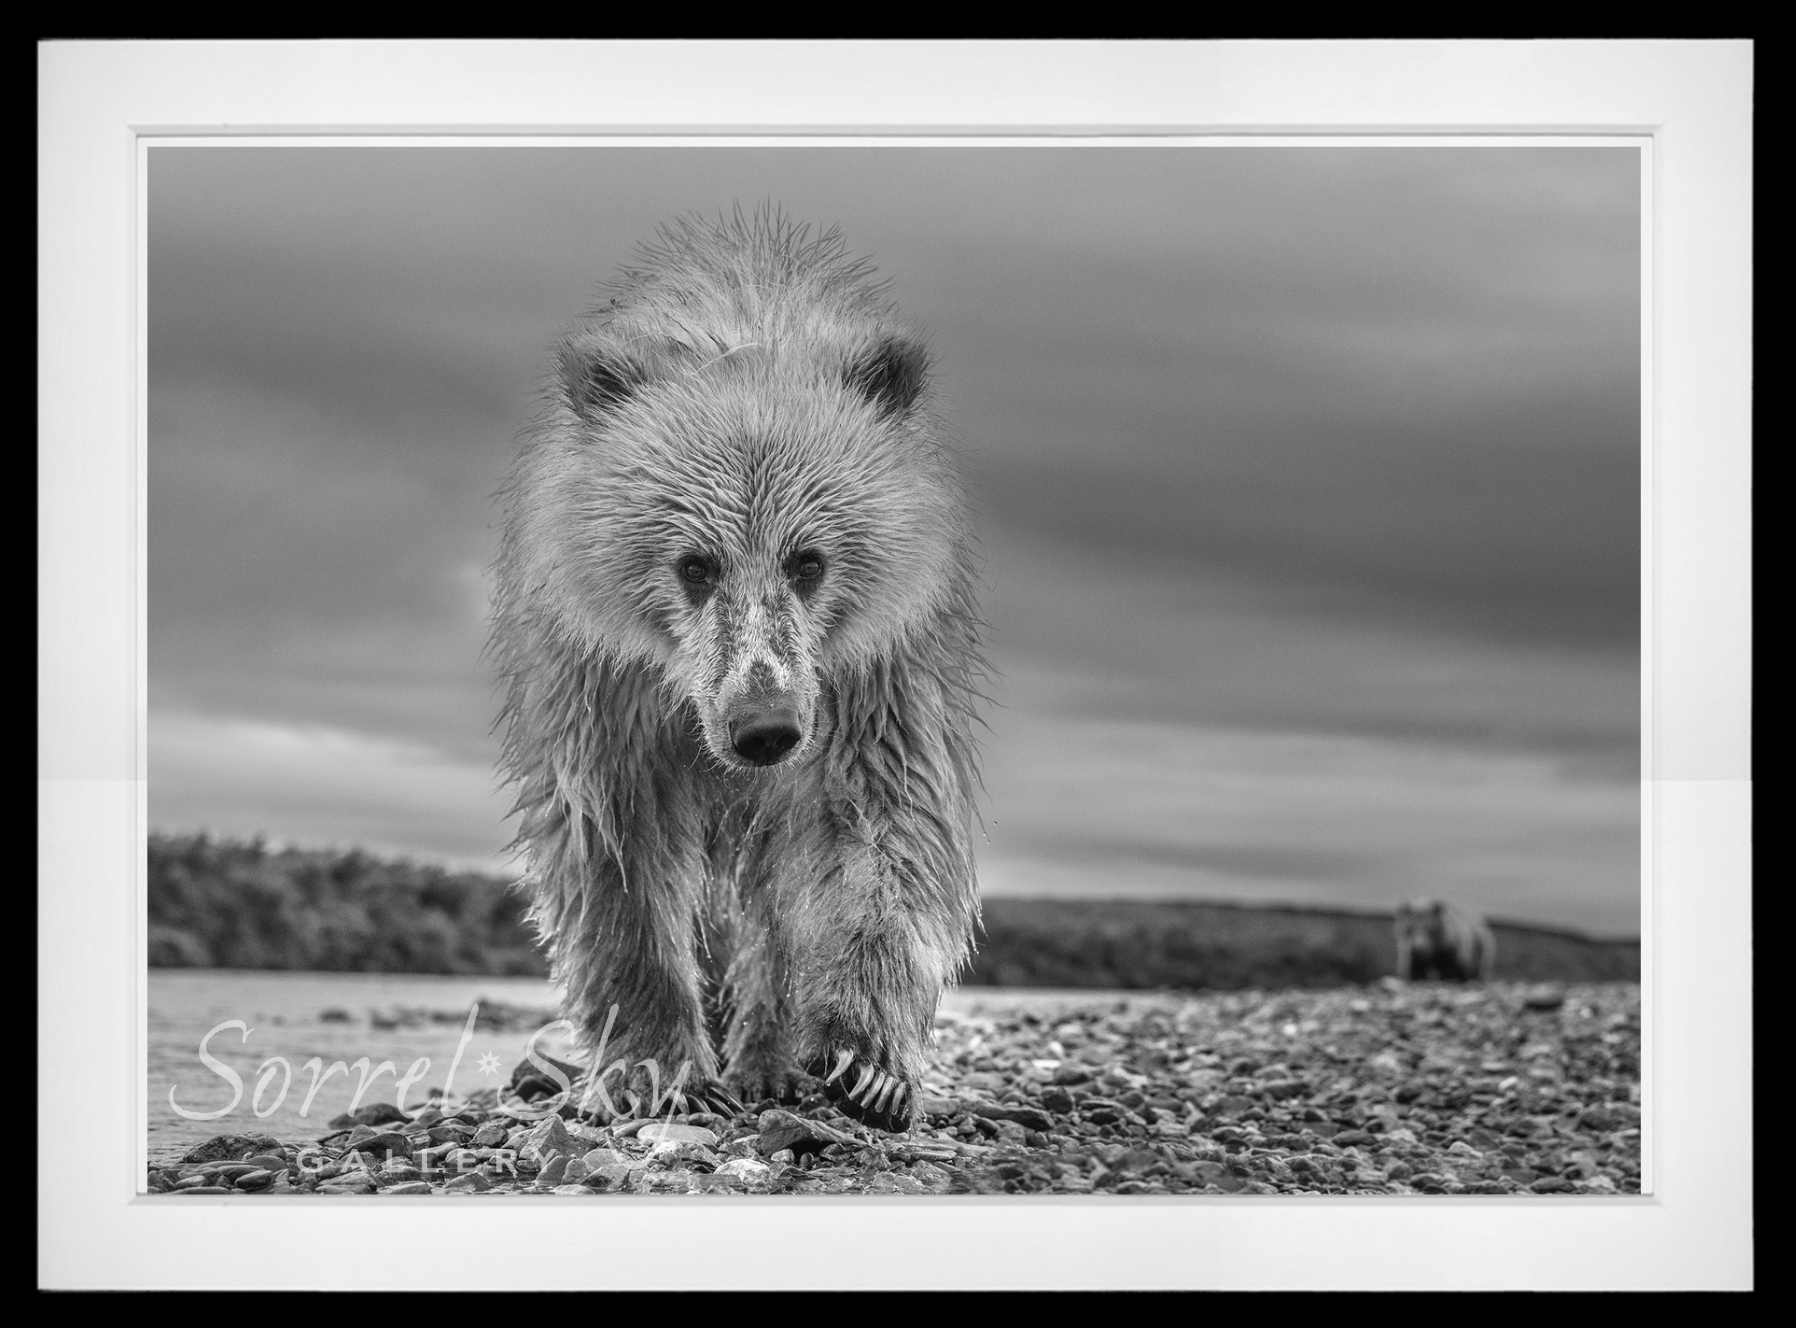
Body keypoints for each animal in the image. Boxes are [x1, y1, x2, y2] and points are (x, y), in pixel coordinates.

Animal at [492, 207, 991, 1135]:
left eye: (808, 560)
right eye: (695, 564)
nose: (763, 728)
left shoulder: (870, 677)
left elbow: (879, 824)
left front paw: (868, 1063)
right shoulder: (606, 686)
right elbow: (615, 853)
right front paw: (652, 1066)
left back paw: (768, 1058)